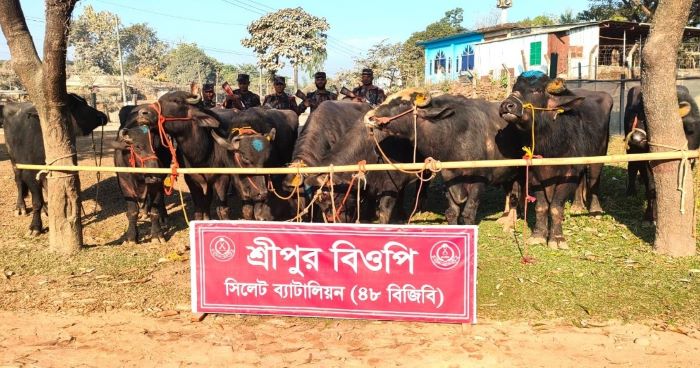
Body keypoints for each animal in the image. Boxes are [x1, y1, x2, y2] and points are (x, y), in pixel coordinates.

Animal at [1, 93, 108, 234]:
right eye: (75, 106)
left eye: (84, 102)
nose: (102, 116)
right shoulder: (30, 174)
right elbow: (36, 202)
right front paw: (35, 226)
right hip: (13, 160)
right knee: (18, 181)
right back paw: (20, 207)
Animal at [364, 90, 524, 227]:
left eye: (402, 103)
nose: (369, 117)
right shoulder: (449, 178)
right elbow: (452, 212)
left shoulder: (480, 181)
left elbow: (468, 214)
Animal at [498, 71, 612, 250]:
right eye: (515, 87)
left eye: (537, 90)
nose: (507, 105)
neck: (550, 143)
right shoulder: (535, 176)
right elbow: (542, 206)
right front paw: (538, 235)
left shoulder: (567, 174)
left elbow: (556, 207)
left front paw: (557, 238)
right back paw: (577, 206)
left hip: (599, 155)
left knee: (594, 180)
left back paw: (595, 210)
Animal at [624, 85, 700, 221]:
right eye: (637, 116)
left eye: (650, 121)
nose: (636, 139)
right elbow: (651, 187)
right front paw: (650, 215)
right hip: (631, 151)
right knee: (632, 167)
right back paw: (631, 191)